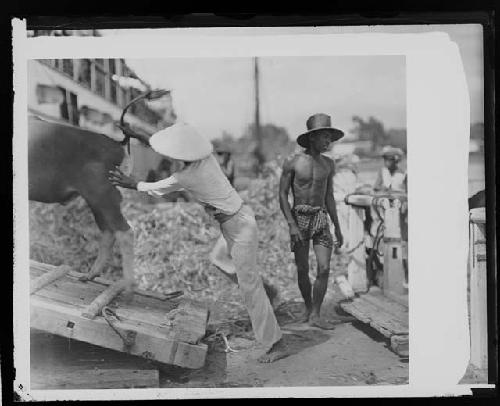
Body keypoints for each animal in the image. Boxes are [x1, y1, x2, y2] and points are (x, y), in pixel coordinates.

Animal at [27, 116, 137, 290]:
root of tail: (118, 145)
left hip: (102, 195)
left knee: (125, 231)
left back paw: (128, 286)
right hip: (96, 201)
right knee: (109, 231)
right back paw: (89, 275)